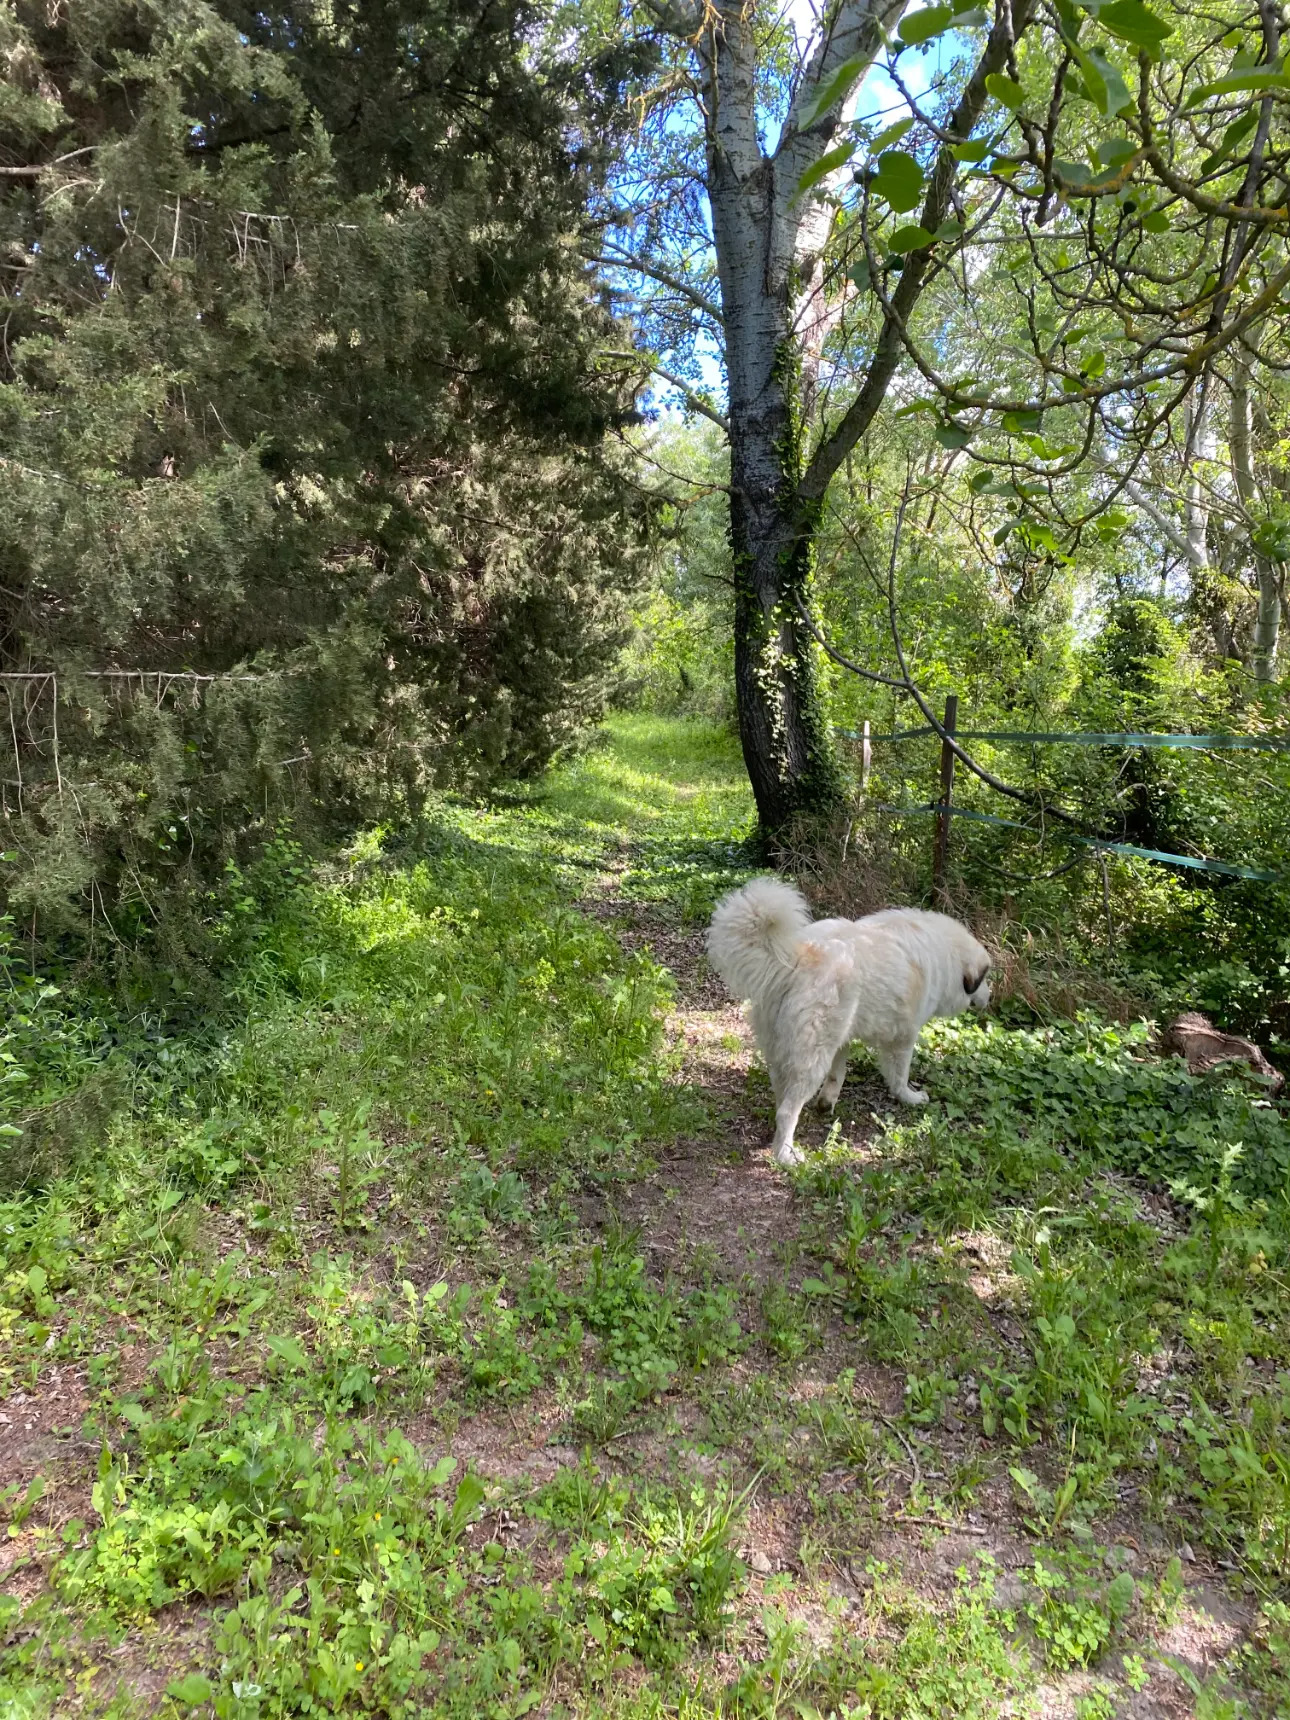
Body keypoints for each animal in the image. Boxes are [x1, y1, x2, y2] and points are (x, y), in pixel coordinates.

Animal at [712, 873, 997, 1169]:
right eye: (984, 978)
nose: (990, 998)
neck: (945, 953)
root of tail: (797, 958)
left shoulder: (843, 1038)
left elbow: (838, 1073)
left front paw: (827, 1102)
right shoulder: (903, 1038)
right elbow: (900, 1075)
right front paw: (910, 1097)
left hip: (786, 1047)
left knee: (782, 1095)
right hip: (811, 1056)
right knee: (787, 1111)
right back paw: (786, 1155)